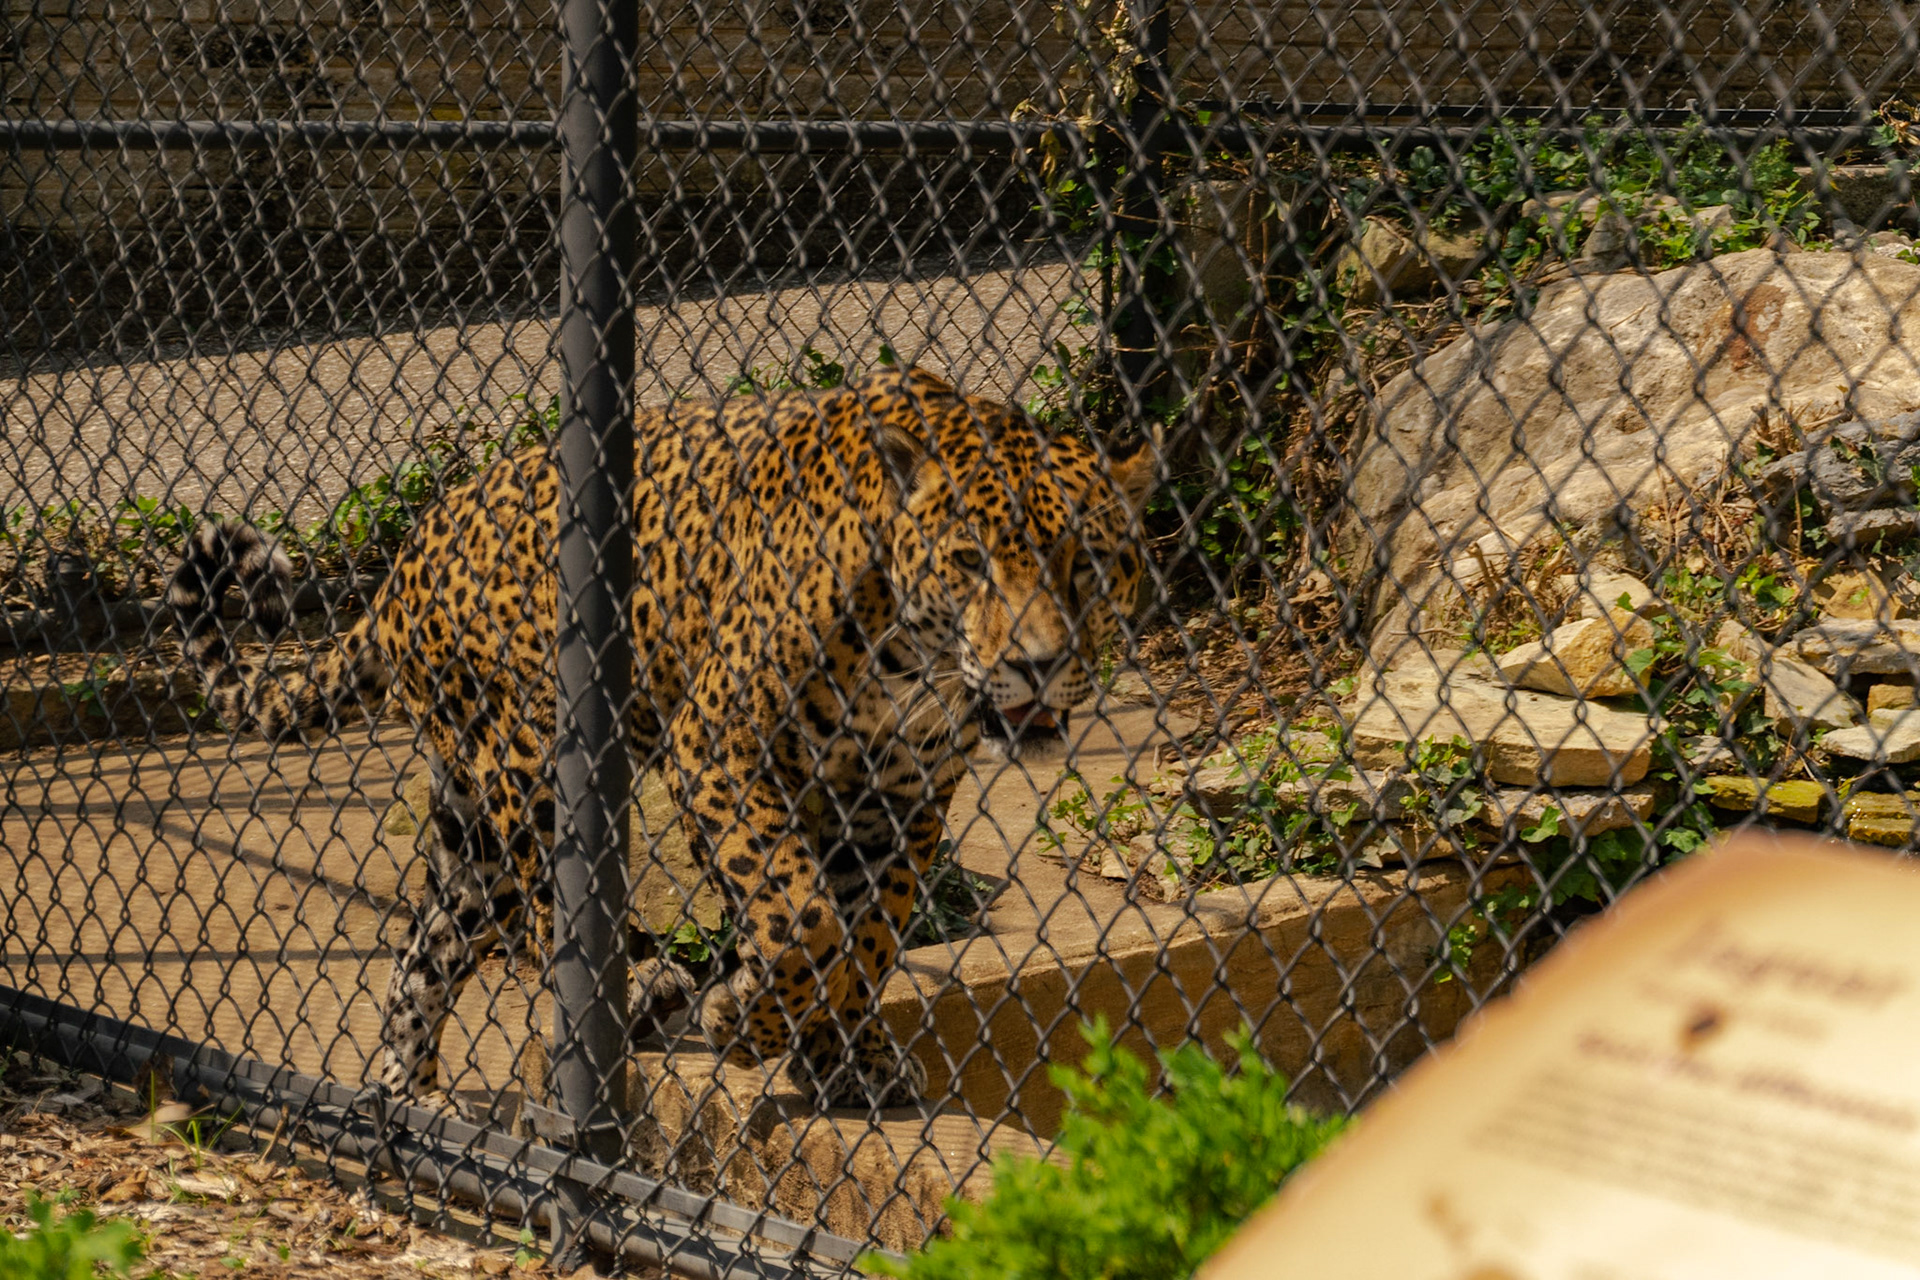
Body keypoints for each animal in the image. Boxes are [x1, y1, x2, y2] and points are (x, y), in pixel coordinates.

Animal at [168, 366, 1155, 1110]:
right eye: (971, 563)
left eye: (1088, 564)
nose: (1037, 664)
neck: (914, 654)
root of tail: (402, 565)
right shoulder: (721, 747)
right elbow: (802, 920)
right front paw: (744, 1021)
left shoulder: (898, 799)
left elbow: (869, 938)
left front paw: (848, 1056)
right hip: (536, 757)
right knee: (543, 914)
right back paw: (640, 990)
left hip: (468, 824)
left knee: (425, 951)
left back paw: (403, 1097)